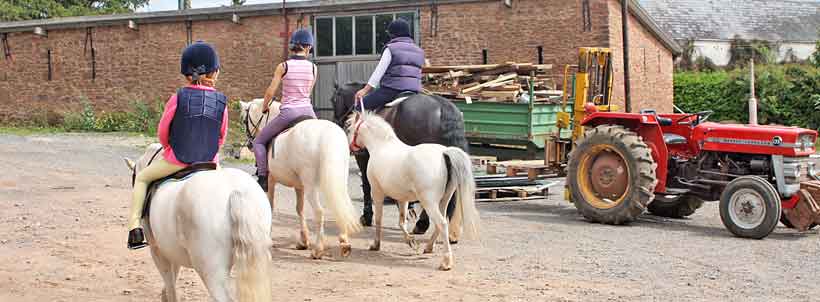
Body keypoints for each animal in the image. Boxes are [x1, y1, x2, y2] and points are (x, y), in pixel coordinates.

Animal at [240, 99, 362, 260]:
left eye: (244, 120)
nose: (249, 144)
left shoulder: (271, 181)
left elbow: (270, 206)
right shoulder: (300, 186)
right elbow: (300, 209)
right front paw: (303, 241)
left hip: (312, 186)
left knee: (319, 212)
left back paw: (318, 250)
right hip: (337, 181)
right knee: (341, 205)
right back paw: (344, 243)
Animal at [328, 83, 468, 236]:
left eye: (333, 100)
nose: (337, 122)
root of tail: (442, 107)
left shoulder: (363, 158)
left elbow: (366, 184)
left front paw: (367, 216)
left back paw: (422, 224)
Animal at [344, 111, 474, 272]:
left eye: (350, 129)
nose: (350, 148)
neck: (381, 146)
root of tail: (444, 153)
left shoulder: (377, 192)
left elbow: (379, 219)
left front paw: (376, 244)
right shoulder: (402, 198)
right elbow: (402, 222)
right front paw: (411, 242)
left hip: (429, 202)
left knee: (442, 223)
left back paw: (446, 262)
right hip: (444, 200)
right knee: (443, 222)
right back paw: (428, 247)